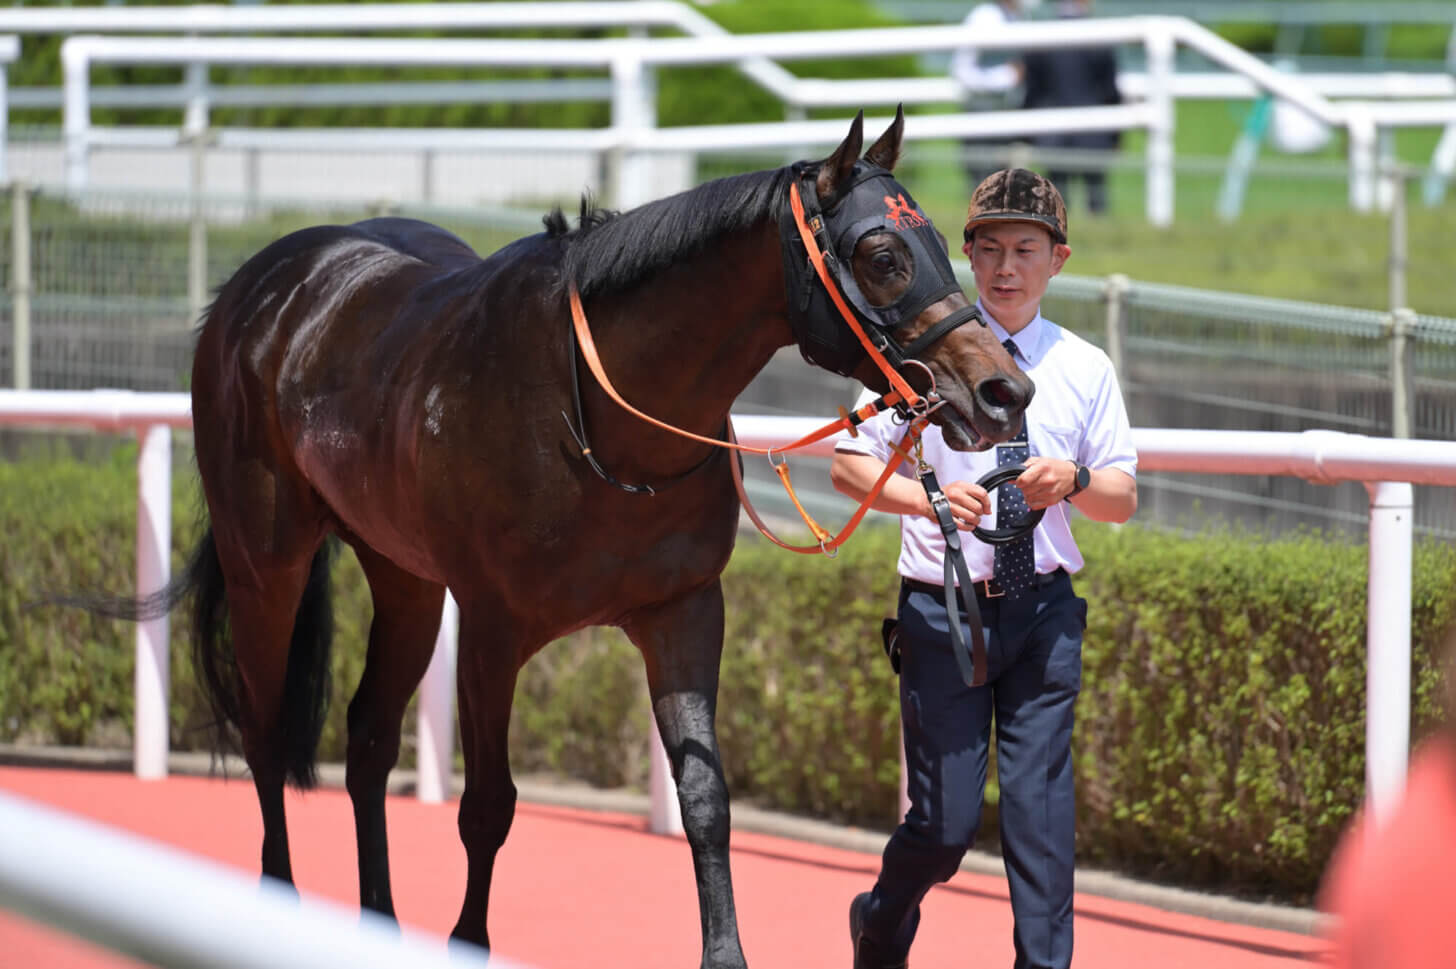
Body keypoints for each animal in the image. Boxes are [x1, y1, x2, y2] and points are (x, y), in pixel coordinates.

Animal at [159, 109, 1030, 960]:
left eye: (943, 242)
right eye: (881, 253)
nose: (1003, 390)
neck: (599, 418)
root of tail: (265, 284)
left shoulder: (682, 609)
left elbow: (705, 798)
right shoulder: (491, 628)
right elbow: (487, 806)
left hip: (404, 574)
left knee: (369, 735)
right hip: (264, 561)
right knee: (265, 728)